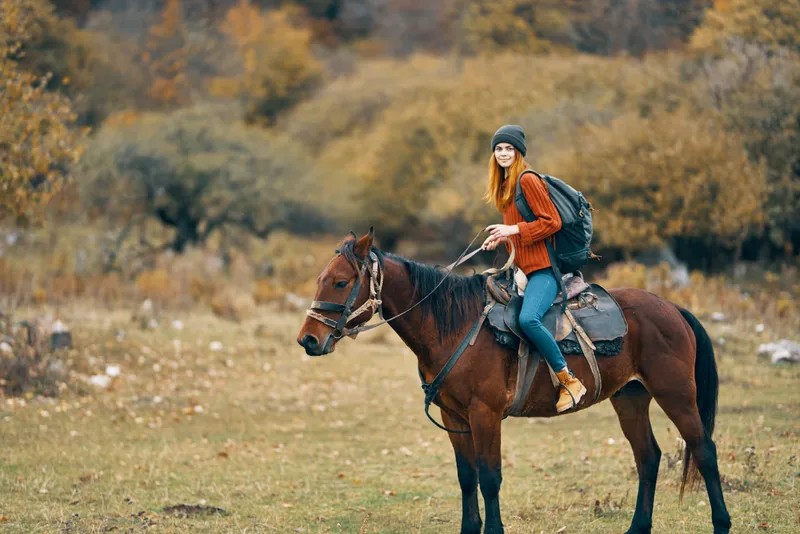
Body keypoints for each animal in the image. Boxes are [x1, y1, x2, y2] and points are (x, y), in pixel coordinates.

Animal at [296, 229, 731, 534]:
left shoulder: (485, 414)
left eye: (340, 282)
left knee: (704, 451)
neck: (454, 327)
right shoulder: (454, 417)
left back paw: (721, 523)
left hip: (676, 395)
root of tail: (672, 307)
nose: (308, 340)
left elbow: (490, 478)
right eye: (320, 278)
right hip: (630, 397)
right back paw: (638, 527)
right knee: (648, 457)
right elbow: (467, 477)